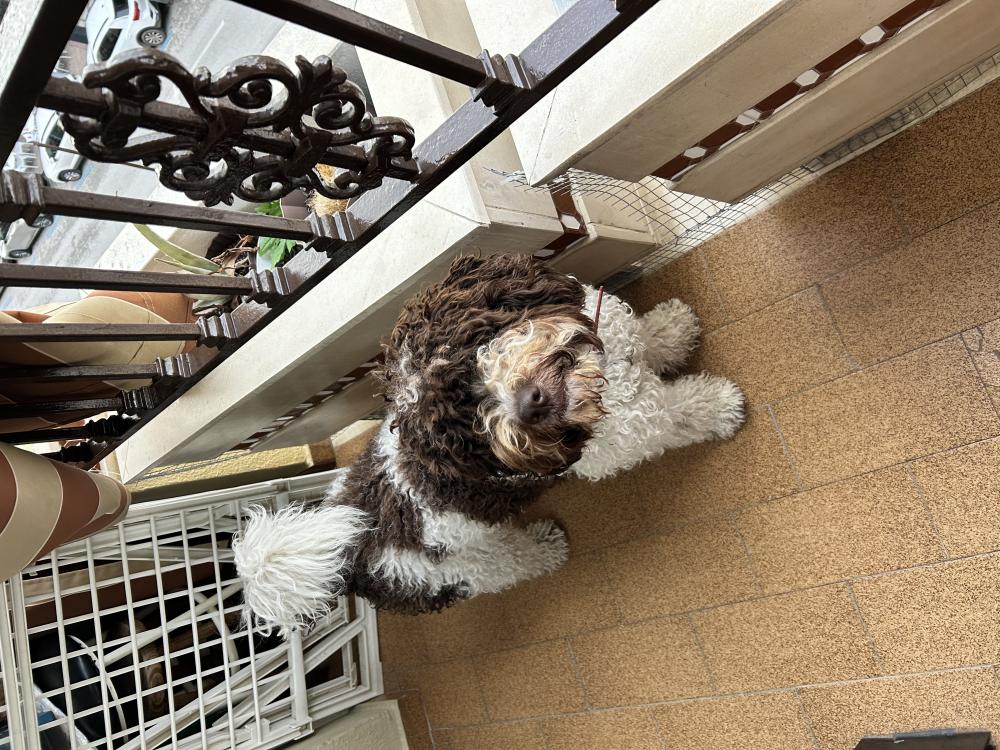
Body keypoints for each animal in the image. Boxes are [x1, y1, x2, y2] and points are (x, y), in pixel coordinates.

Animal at [230, 254, 740, 636]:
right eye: (466, 414)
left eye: (467, 352)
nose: (529, 405)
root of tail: (351, 550)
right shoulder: (627, 434)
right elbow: (675, 412)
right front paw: (720, 406)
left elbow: (645, 339)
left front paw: (673, 329)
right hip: (467, 566)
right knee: (510, 563)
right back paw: (545, 546)